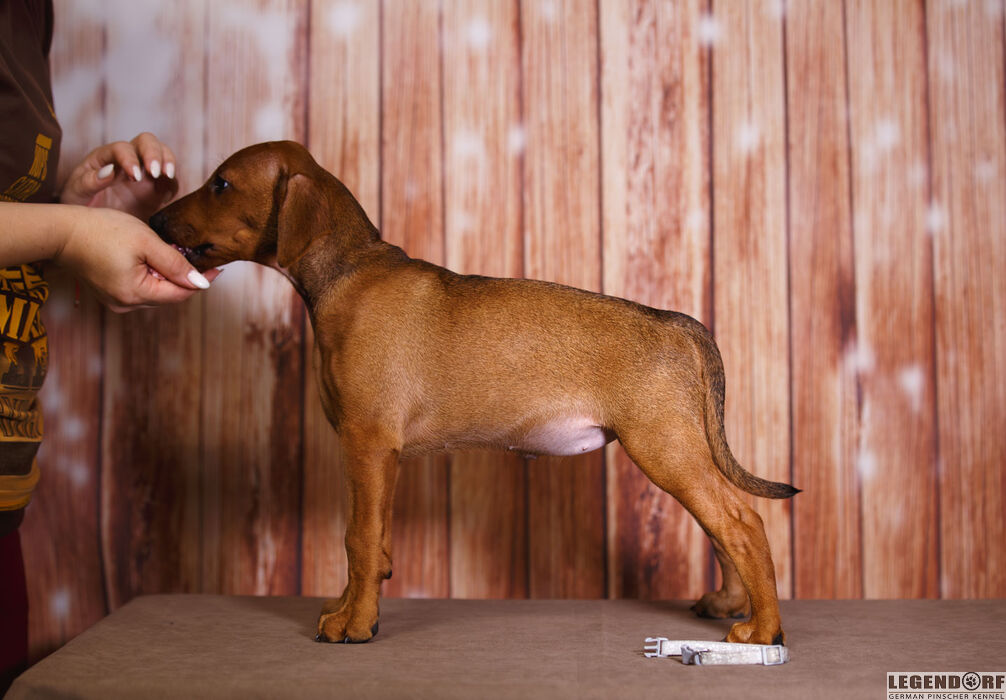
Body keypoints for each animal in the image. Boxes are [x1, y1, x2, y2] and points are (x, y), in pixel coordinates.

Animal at [150, 141, 798, 646]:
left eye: (221, 183)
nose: (153, 222)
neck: (348, 272)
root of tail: (675, 322)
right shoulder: (381, 459)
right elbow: (374, 543)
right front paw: (354, 605)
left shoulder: (365, 444)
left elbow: (358, 539)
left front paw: (353, 625)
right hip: (682, 452)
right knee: (722, 526)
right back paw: (728, 604)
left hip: (664, 448)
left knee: (742, 522)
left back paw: (763, 630)